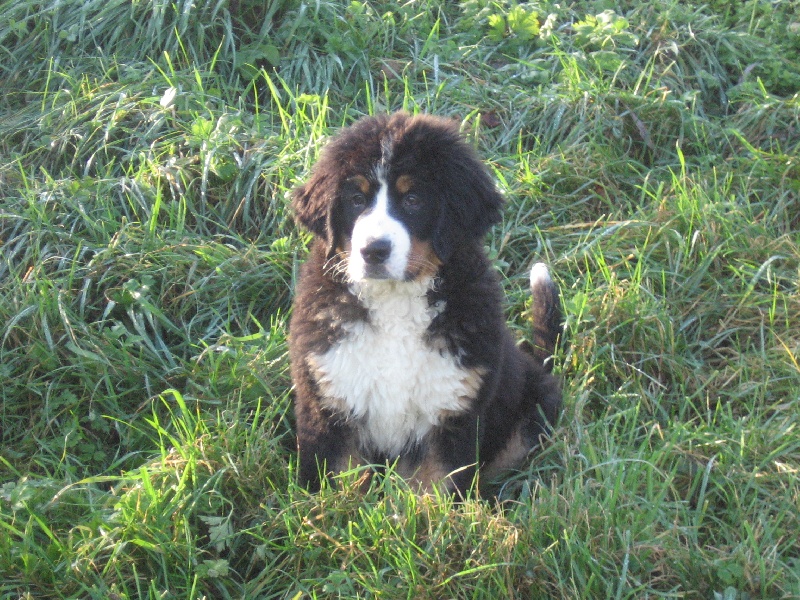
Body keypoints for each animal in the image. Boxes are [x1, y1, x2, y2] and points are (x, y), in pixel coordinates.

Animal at [290, 112, 564, 496]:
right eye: (356, 199)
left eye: (414, 199)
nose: (373, 251)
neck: (394, 301)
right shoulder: (328, 400)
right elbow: (337, 483)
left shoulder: (454, 411)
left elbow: (436, 488)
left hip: (531, 411)